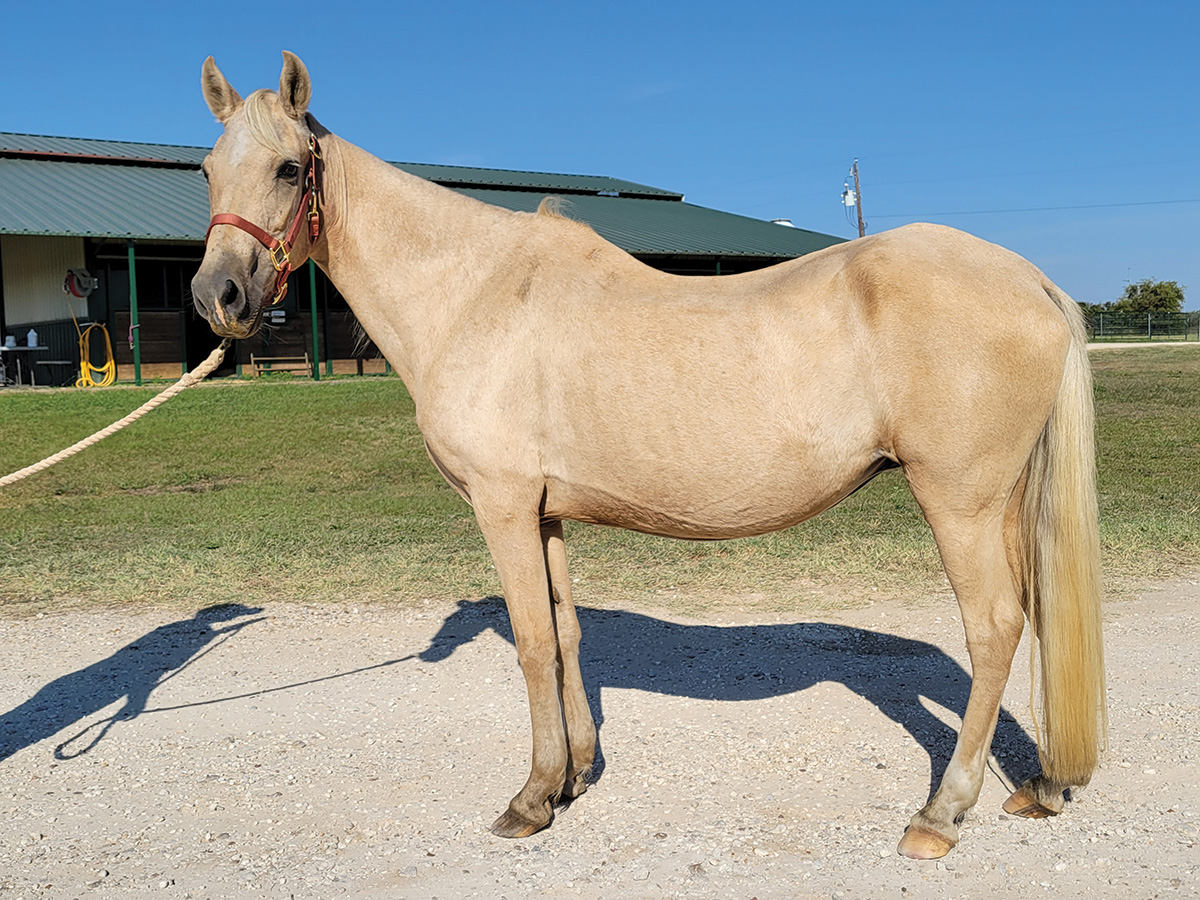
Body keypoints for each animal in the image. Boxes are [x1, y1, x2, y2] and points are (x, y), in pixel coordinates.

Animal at [192, 52, 1099, 864]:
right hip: (1003, 504)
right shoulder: (545, 514)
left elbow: (530, 642)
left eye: (286, 168)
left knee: (994, 628)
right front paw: (573, 777)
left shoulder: (502, 506)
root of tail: (1028, 277)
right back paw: (1043, 784)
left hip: (959, 502)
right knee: (1035, 616)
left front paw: (531, 800)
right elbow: (565, 634)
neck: (474, 291)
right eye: (206, 171)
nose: (217, 297)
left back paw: (940, 814)